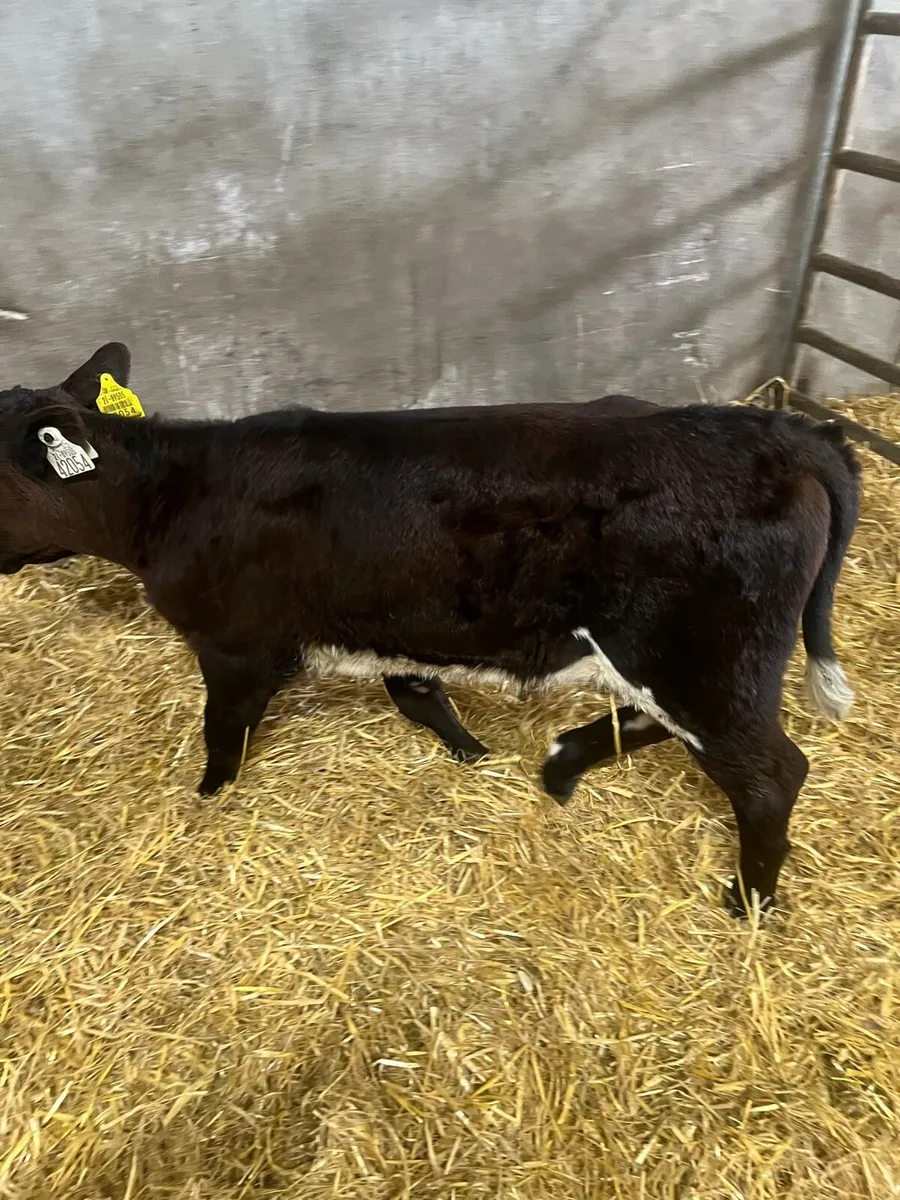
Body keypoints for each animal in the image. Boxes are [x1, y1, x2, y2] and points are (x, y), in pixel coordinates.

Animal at [0, 344, 860, 916]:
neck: (176, 496)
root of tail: (784, 432)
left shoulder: (236, 644)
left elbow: (226, 731)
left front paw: (208, 797)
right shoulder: (391, 621)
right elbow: (416, 693)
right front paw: (470, 751)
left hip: (705, 659)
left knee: (770, 772)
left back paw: (749, 902)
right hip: (673, 657)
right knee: (660, 722)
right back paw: (563, 765)